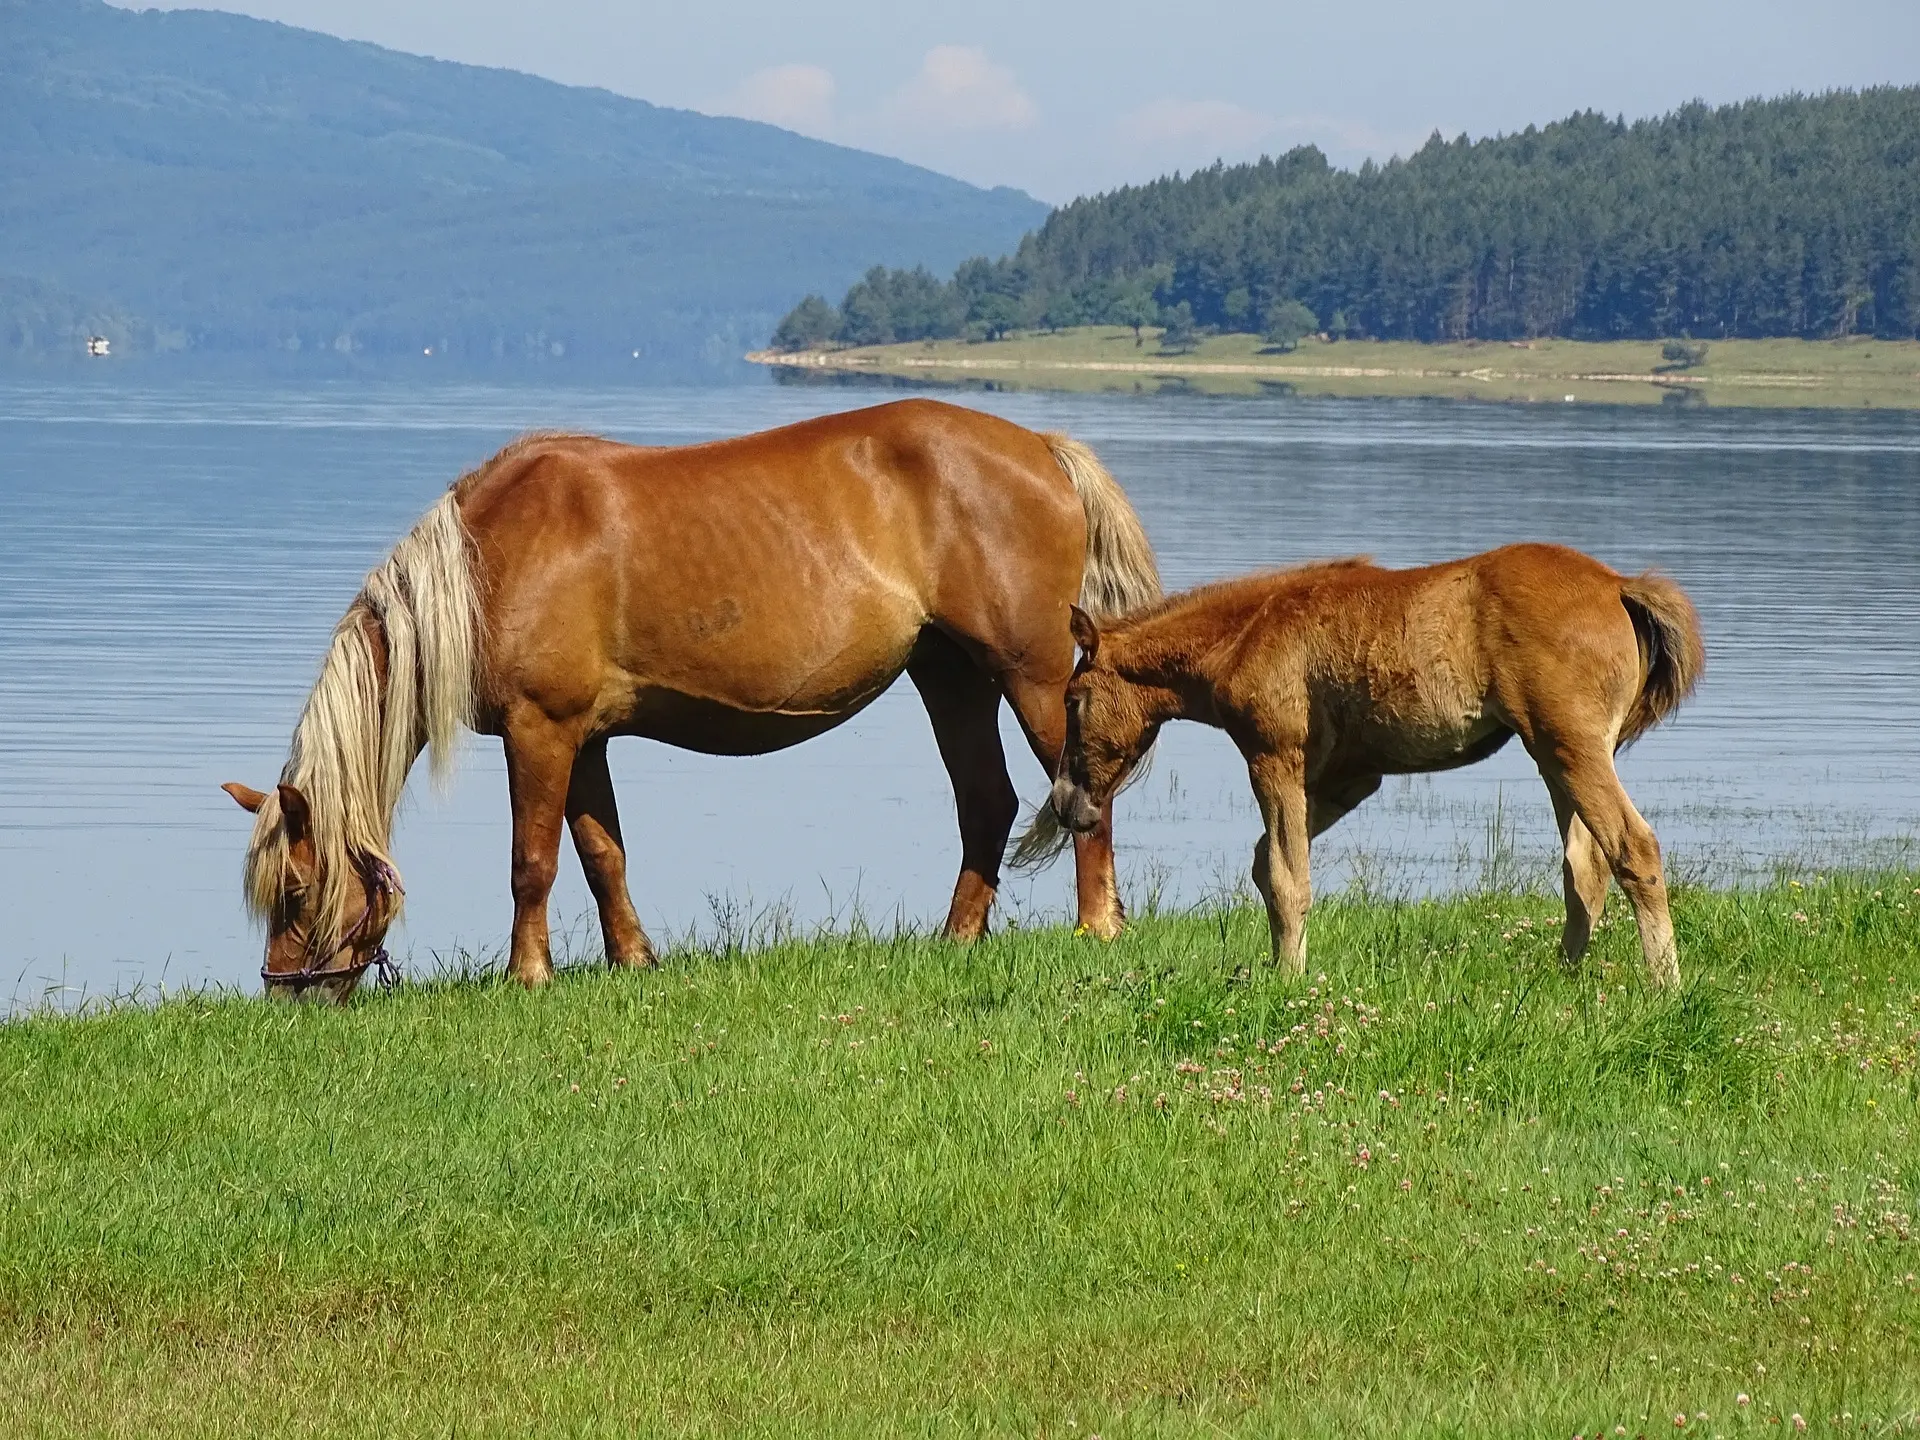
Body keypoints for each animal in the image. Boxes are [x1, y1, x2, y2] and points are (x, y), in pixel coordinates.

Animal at [220, 401, 1152, 998]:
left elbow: (533, 862)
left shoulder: (540, 730)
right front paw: (633, 960)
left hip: (1031, 677)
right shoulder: (585, 739)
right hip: (950, 678)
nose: (288, 995)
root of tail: (1041, 447)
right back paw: (957, 938)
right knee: (987, 804)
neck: (489, 558)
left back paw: (1098, 926)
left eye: (297, 890)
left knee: (1084, 799)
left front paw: (528, 975)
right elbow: (602, 855)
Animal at [1029, 545, 1704, 990]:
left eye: (1073, 699)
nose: (1064, 803)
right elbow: (1266, 863)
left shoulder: (1274, 756)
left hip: (1571, 748)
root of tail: (1617, 585)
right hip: (1555, 757)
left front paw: (1289, 982)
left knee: (1633, 847)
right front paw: (1280, 965)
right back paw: (1563, 978)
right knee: (1584, 867)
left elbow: (1285, 874)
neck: (1247, 633)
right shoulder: (1350, 778)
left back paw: (1666, 987)